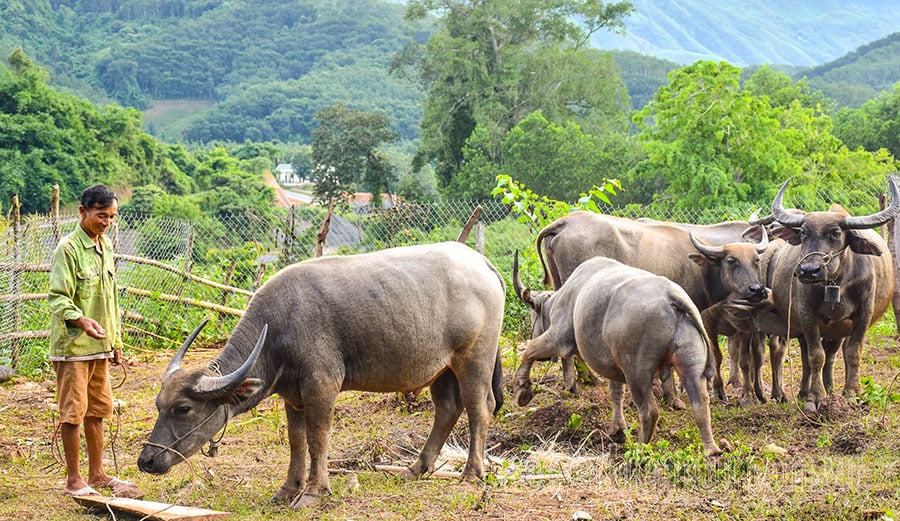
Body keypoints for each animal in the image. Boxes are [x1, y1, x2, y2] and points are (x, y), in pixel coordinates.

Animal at [138, 243, 510, 508]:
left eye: (183, 409)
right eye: (158, 405)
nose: (147, 460)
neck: (277, 332)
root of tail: (483, 263)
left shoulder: (321, 387)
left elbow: (318, 438)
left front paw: (314, 492)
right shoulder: (292, 396)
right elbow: (296, 441)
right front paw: (288, 489)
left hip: (474, 359)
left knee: (479, 408)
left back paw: (471, 475)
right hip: (441, 368)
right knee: (447, 408)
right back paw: (417, 469)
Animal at [512, 252, 724, 456]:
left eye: (533, 316)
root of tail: (671, 297)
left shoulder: (559, 338)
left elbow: (530, 350)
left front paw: (522, 389)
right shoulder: (613, 368)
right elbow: (616, 393)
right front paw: (618, 430)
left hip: (637, 372)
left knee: (649, 412)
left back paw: (639, 449)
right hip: (690, 363)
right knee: (700, 404)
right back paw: (712, 452)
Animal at [536, 213, 768, 400]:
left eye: (756, 260)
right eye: (731, 261)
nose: (756, 289)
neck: (697, 267)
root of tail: (566, 222)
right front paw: (673, 394)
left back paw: (576, 383)